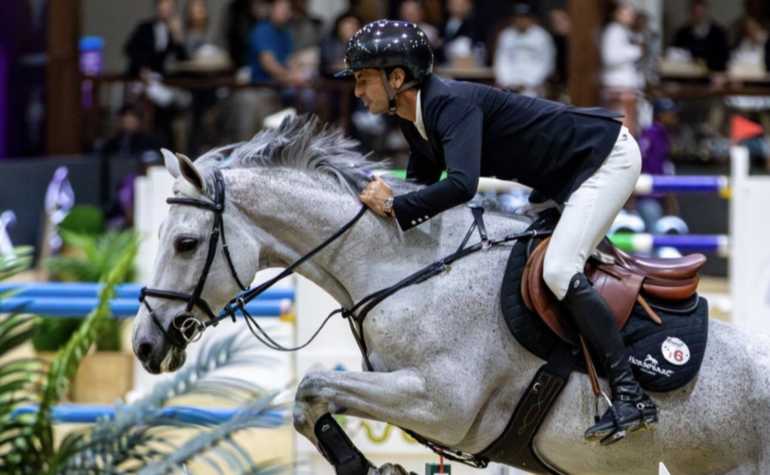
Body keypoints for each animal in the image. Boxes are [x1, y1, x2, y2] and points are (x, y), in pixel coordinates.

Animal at [132, 116, 768, 475]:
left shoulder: (443, 403)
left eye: (186, 243)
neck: (408, 266)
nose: (143, 346)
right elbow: (308, 403)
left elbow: (312, 386)